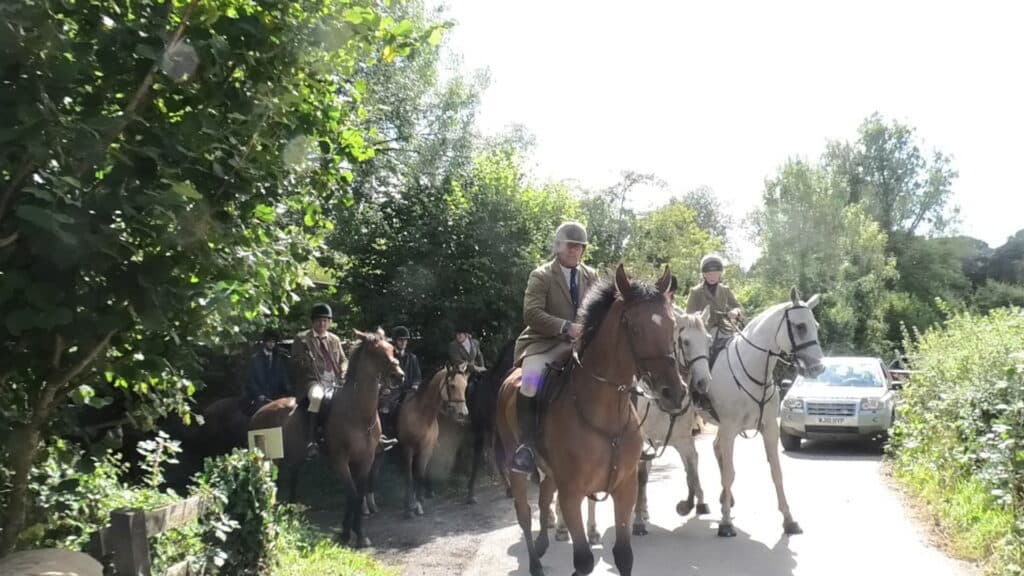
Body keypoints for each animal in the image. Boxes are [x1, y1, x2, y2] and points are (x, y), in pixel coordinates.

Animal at [249, 325, 401, 545]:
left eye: (391, 349)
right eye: (376, 352)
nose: (399, 375)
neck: (357, 413)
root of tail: (259, 412)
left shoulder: (365, 460)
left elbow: (357, 495)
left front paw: (358, 534)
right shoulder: (339, 460)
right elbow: (352, 494)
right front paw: (346, 533)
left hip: (292, 458)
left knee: (292, 479)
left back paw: (291, 512)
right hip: (269, 459)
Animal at [397, 358, 468, 516]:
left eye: (465, 386)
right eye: (452, 386)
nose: (463, 413)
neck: (421, 415)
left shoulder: (426, 448)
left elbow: (420, 474)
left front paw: (418, 503)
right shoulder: (407, 448)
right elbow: (408, 476)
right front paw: (408, 507)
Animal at [495, 264, 688, 573]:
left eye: (672, 326)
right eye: (634, 327)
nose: (674, 392)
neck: (607, 415)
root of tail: (508, 379)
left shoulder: (625, 487)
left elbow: (623, 555)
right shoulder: (571, 493)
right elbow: (584, 560)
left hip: (551, 472)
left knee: (544, 497)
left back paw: (542, 544)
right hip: (517, 466)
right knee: (524, 512)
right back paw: (535, 563)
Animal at [557, 307, 716, 541]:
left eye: (708, 341)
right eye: (685, 342)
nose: (703, 383)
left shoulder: (682, 440)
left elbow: (692, 468)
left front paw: (692, 504)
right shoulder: (641, 445)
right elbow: (640, 478)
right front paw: (639, 522)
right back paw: (568, 527)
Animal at [708, 284, 827, 532]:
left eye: (816, 326)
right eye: (800, 326)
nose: (819, 368)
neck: (749, 369)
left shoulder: (769, 428)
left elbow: (776, 473)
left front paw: (789, 520)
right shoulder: (730, 429)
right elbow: (730, 473)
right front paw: (725, 523)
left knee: (716, 449)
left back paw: (725, 499)